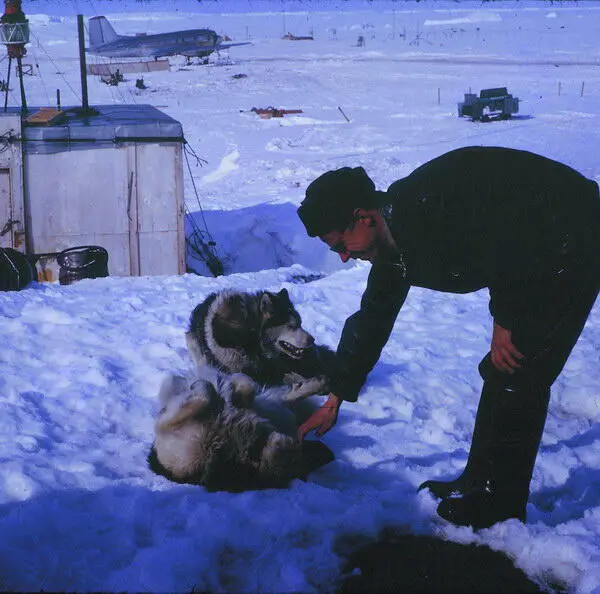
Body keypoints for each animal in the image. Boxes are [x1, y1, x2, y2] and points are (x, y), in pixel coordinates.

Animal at [145, 366, 332, 490]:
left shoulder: (177, 447)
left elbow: (205, 393)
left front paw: (203, 386)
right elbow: (246, 385)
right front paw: (233, 387)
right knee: (283, 398)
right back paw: (315, 383)